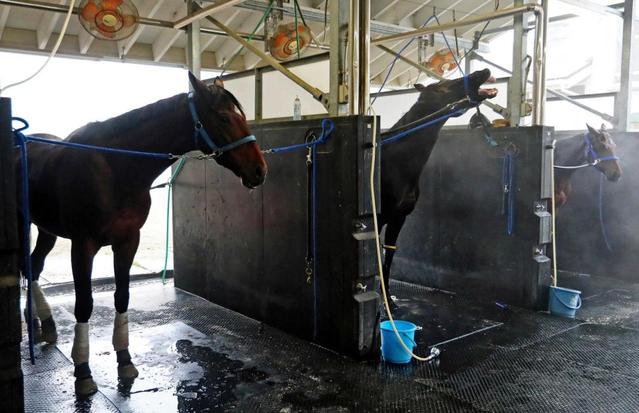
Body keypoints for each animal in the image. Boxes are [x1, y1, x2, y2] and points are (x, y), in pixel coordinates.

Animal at [16, 73, 268, 396]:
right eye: (223, 118)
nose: (260, 170)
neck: (115, 168)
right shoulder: (83, 245)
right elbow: (84, 304)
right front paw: (83, 371)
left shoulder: (127, 241)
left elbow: (122, 297)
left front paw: (124, 360)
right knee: (27, 267)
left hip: (47, 229)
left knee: (33, 266)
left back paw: (43, 323)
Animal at [380, 68, 500, 302]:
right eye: (443, 88)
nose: (483, 71)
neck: (394, 162)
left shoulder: (398, 217)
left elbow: (388, 253)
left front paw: (388, 299)